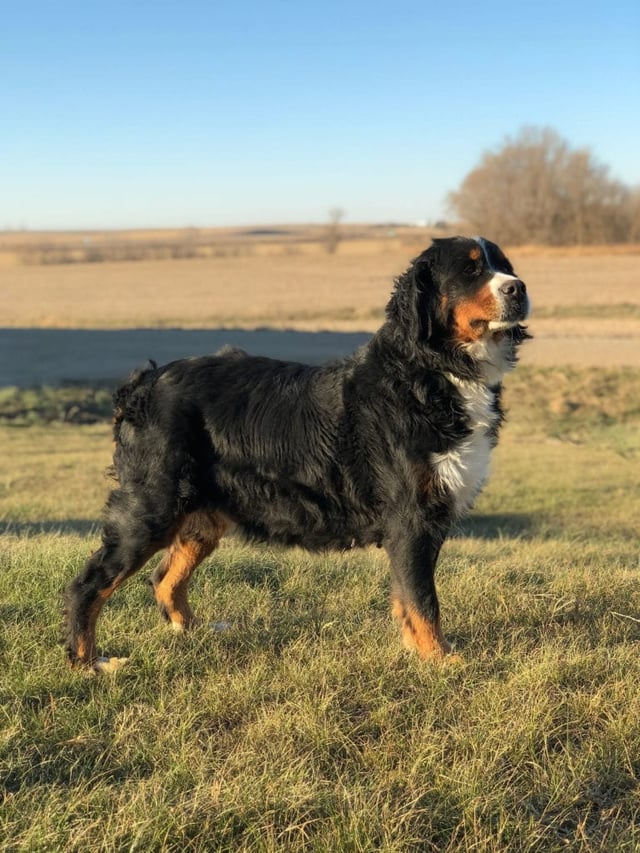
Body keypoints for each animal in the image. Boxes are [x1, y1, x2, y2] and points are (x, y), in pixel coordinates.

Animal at [63, 236, 528, 668]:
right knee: (89, 583)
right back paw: (89, 662)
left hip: (202, 515)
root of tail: (144, 383)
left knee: (165, 578)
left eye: (505, 265)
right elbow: (422, 599)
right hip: (153, 507)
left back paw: (195, 632)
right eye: (470, 270)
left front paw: (419, 652)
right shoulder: (411, 517)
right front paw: (440, 660)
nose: (519, 288)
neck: (434, 371)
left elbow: (407, 598)